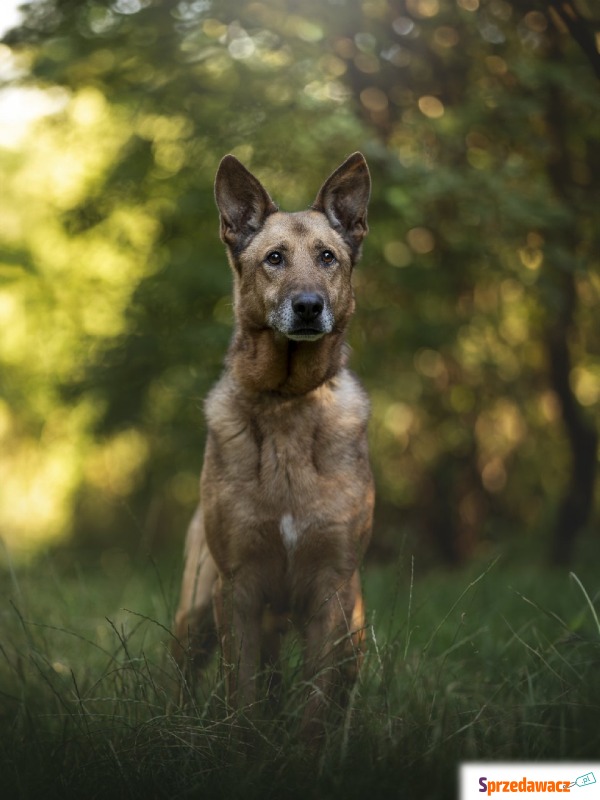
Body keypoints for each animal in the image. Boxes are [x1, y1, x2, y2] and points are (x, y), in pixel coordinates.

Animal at [171, 152, 372, 736]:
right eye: (274, 259)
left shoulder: (330, 592)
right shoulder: (236, 589)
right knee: (180, 677)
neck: (287, 400)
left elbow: (315, 709)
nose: (308, 307)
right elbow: (241, 696)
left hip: (356, 629)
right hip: (196, 611)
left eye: (328, 257)